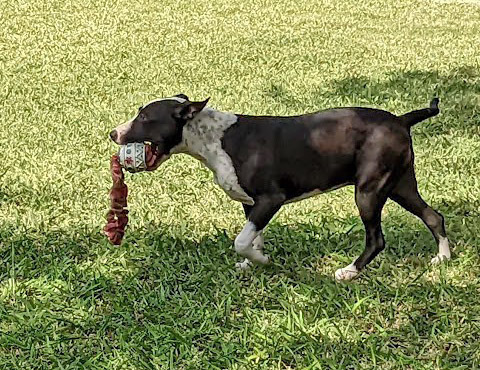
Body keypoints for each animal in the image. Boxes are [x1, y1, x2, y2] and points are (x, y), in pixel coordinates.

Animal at [110, 94, 452, 280]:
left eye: (144, 117)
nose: (113, 133)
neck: (214, 137)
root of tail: (401, 119)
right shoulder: (250, 204)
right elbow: (253, 237)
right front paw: (253, 262)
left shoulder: (270, 199)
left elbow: (241, 240)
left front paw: (262, 262)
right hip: (399, 185)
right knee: (433, 216)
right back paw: (443, 258)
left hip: (369, 191)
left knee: (377, 239)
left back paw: (349, 272)